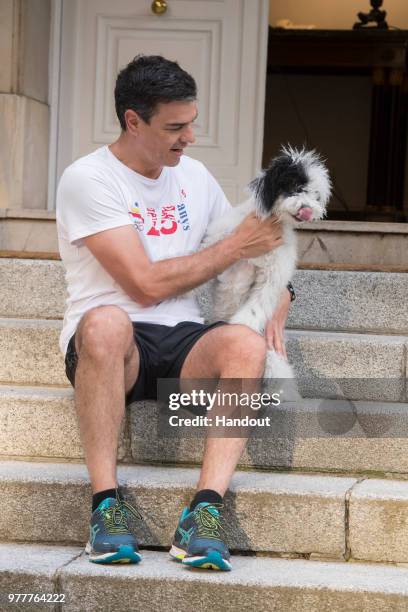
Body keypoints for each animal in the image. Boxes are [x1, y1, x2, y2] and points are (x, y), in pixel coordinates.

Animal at [198, 146, 332, 390]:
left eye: (315, 195)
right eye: (295, 186)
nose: (308, 209)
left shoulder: (272, 277)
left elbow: (254, 309)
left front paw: (241, 327)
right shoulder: (218, 243)